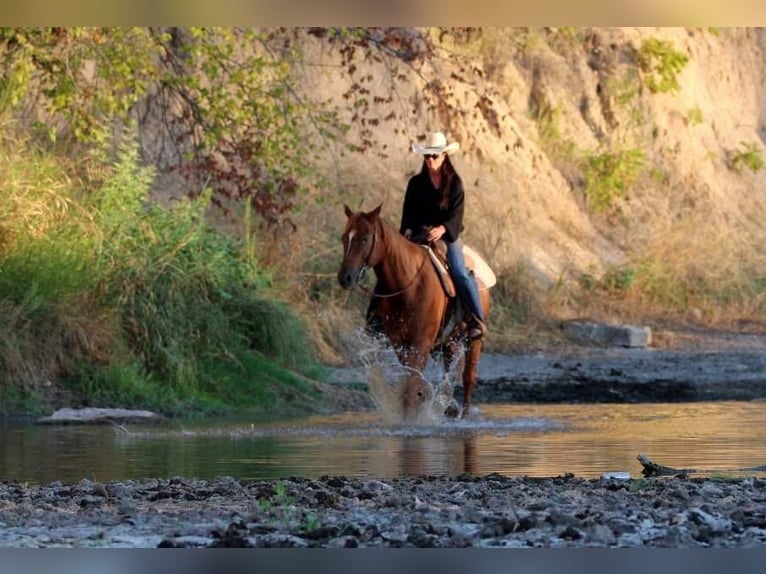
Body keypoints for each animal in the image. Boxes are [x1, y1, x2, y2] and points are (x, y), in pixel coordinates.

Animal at [340, 205, 496, 420]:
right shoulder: (401, 345)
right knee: (448, 372)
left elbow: (411, 387)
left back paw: (463, 416)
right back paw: (449, 408)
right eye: (343, 237)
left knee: (468, 377)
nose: (345, 277)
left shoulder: (420, 344)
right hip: (450, 342)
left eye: (365, 238)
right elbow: (413, 385)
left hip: (473, 341)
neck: (408, 285)